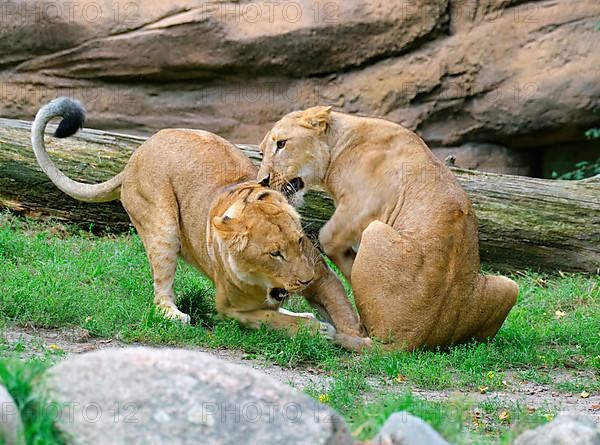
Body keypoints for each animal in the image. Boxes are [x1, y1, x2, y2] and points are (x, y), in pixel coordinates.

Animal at [31, 97, 370, 350]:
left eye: (299, 241)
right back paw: (174, 315)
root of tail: (135, 155)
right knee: (160, 292)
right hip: (163, 226)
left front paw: (358, 339)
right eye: (274, 254)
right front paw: (318, 330)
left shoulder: (320, 273)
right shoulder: (231, 309)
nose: (303, 280)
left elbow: (341, 307)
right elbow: (272, 320)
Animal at [255, 106, 516, 348]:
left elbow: (329, 240)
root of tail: (409, 340)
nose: (263, 181)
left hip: (376, 230)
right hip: (510, 287)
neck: (339, 143)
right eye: (261, 151)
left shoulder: (363, 205)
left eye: (281, 144)